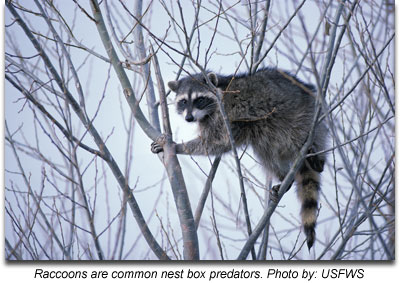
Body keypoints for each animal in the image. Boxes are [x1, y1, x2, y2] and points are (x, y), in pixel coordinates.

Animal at [152, 67, 326, 250]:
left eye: (199, 99)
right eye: (184, 101)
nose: (189, 118)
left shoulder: (227, 114)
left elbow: (217, 142)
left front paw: (177, 146)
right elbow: (218, 143)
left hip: (302, 118)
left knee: (298, 135)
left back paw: (317, 160)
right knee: (265, 151)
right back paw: (284, 176)